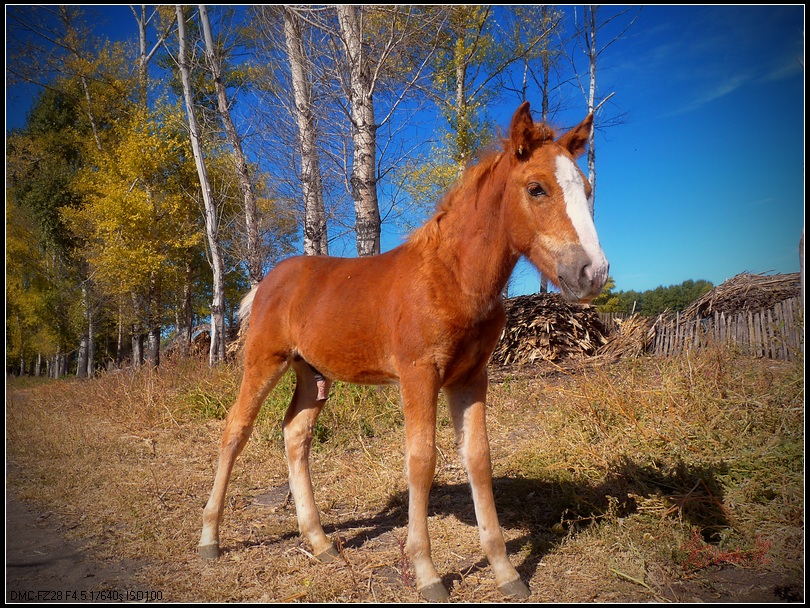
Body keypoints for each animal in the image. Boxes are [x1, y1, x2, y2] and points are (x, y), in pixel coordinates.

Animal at [197, 102, 608, 600]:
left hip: (312, 373)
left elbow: (478, 458)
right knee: (235, 430)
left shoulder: (471, 376)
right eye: (536, 188)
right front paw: (427, 573)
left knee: (295, 435)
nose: (592, 272)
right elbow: (422, 460)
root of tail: (266, 283)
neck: (453, 277)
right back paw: (209, 539)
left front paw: (506, 571)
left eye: (587, 188)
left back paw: (321, 544)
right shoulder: (419, 373)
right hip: (265, 360)